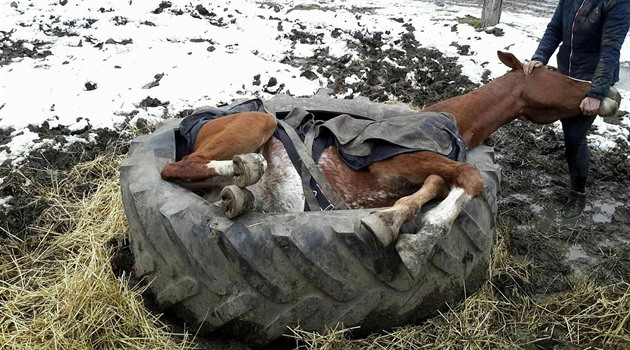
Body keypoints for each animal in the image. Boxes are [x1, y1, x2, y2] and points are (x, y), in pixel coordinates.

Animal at [159, 51, 624, 260]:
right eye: (556, 72)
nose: (612, 94)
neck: (448, 119)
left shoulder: (417, 171)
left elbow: (438, 183)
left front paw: (396, 220)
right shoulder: (391, 160)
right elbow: (468, 176)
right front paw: (422, 236)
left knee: (203, 183)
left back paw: (240, 194)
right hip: (255, 123)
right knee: (174, 167)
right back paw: (246, 168)